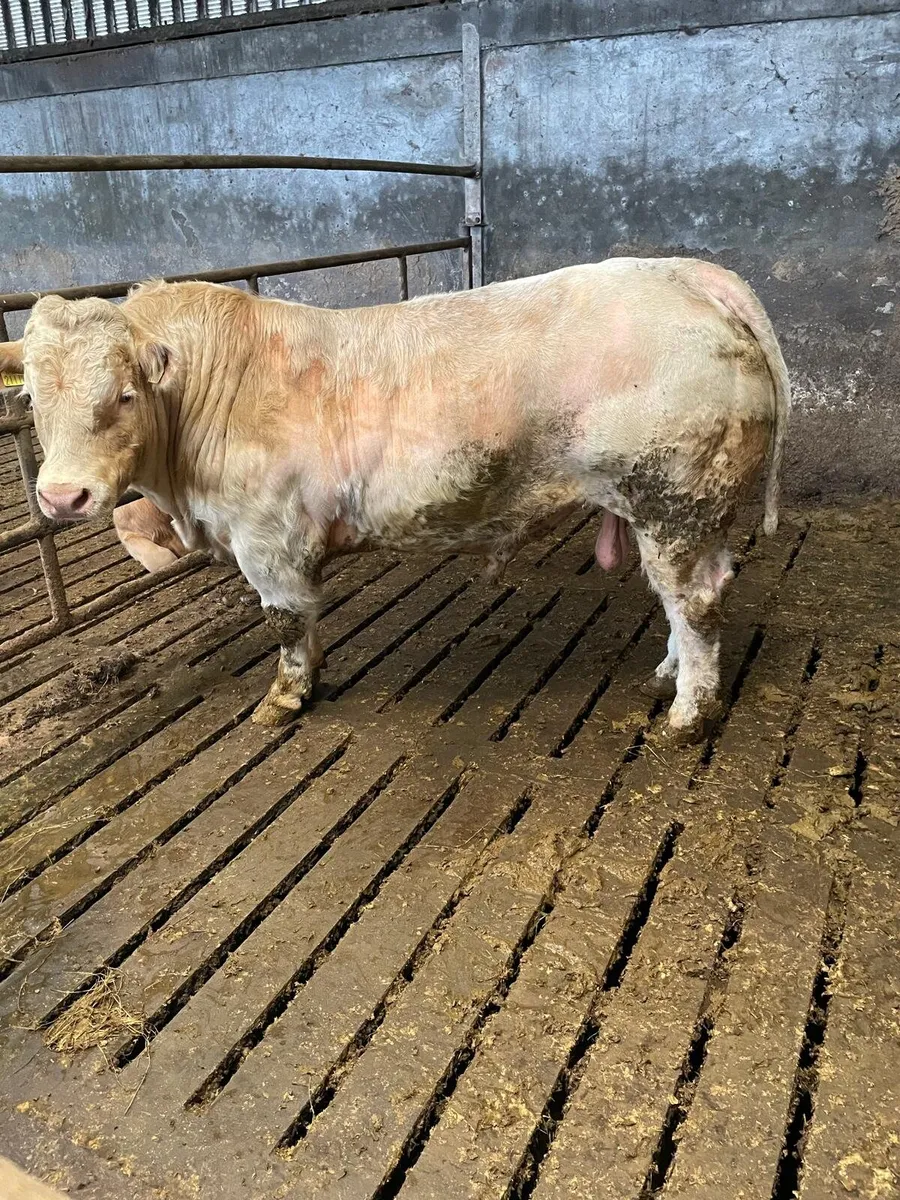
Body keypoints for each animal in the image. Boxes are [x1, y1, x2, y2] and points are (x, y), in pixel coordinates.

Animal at [2, 256, 789, 740]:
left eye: (124, 394)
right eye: (32, 398)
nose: (63, 497)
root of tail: (684, 273)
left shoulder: (268, 539)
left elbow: (285, 624)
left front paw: (284, 699)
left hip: (674, 499)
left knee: (694, 603)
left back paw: (689, 713)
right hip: (693, 508)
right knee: (693, 592)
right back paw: (668, 675)